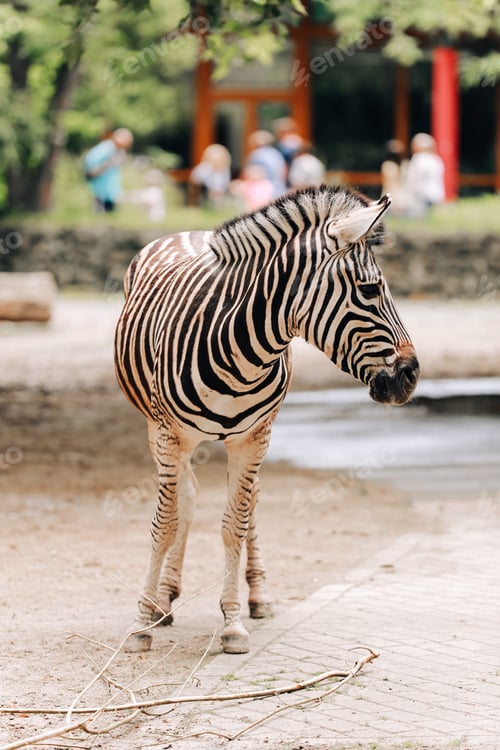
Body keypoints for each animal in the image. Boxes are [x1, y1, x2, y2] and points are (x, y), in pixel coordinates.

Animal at [114, 185, 419, 654]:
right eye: (370, 290)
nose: (411, 375)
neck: (241, 347)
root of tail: (194, 232)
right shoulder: (168, 434)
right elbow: (165, 523)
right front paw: (141, 623)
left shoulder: (254, 437)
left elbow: (234, 524)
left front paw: (232, 623)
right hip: (158, 429)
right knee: (186, 496)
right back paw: (163, 599)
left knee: (248, 502)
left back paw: (256, 596)